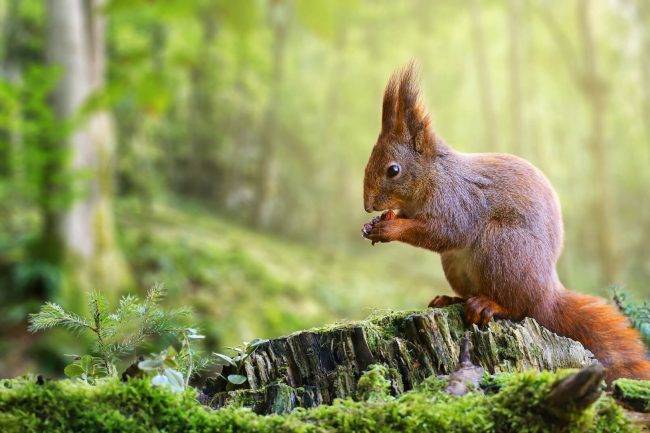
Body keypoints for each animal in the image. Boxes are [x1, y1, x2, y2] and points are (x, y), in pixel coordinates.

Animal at [362, 62, 650, 383]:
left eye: (393, 170)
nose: (367, 205)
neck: (432, 176)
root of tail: (546, 295)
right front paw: (376, 223)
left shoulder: (459, 201)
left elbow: (446, 232)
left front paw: (390, 228)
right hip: (458, 264)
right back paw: (451, 300)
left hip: (503, 247)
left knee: (519, 308)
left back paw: (490, 304)